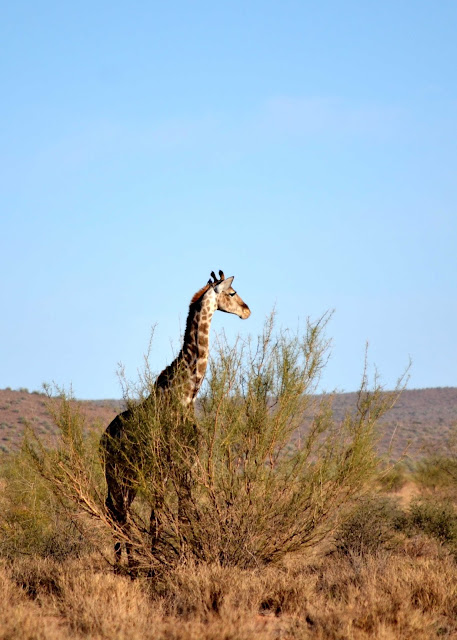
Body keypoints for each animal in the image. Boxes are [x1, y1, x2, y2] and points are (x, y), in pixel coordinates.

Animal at [100, 268, 249, 568]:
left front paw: (184, 555)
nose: (247, 310)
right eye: (232, 292)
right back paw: (130, 561)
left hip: (129, 476)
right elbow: (160, 518)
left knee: (118, 512)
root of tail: (103, 438)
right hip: (117, 472)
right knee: (119, 512)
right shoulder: (168, 466)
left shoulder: (186, 464)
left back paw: (127, 560)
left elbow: (183, 513)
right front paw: (161, 559)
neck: (186, 395)